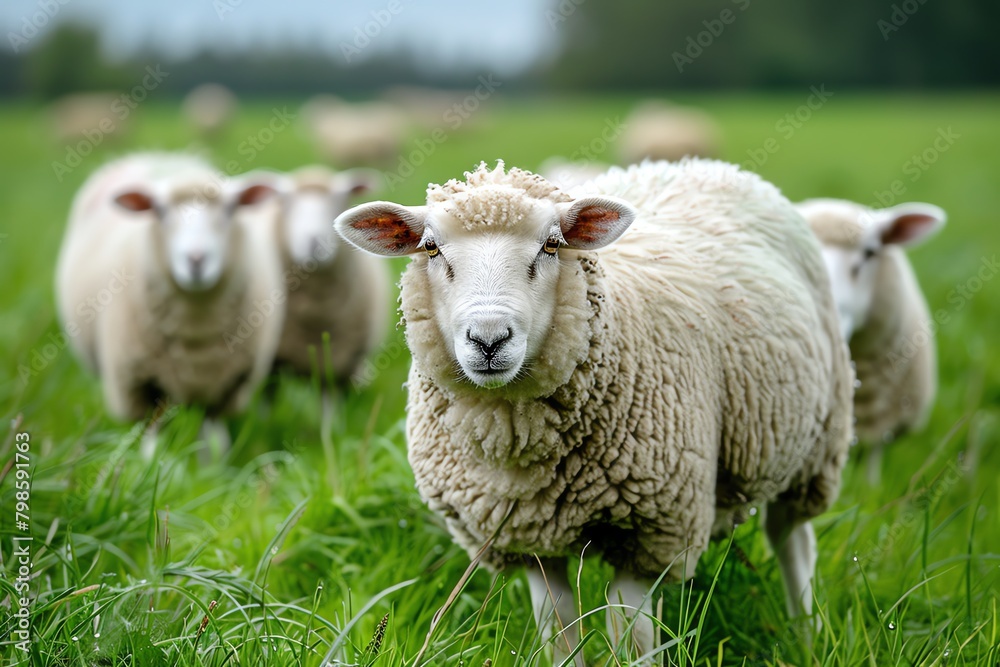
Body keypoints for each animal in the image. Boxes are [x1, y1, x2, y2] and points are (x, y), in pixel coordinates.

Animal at [55, 153, 285, 449]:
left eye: (229, 210)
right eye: (160, 212)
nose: (196, 259)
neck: (197, 327)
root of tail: (161, 156)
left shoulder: (227, 385)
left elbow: (215, 439)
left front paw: (216, 462)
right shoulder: (140, 384)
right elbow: (152, 437)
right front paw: (150, 460)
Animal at [335, 159, 852, 663]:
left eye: (551, 245)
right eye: (431, 248)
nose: (489, 340)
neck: (517, 450)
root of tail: (701, 164)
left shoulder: (651, 528)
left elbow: (631, 634)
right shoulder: (528, 539)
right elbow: (559, 634)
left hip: (817, 444)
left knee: (791, 539)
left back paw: (806, 635)